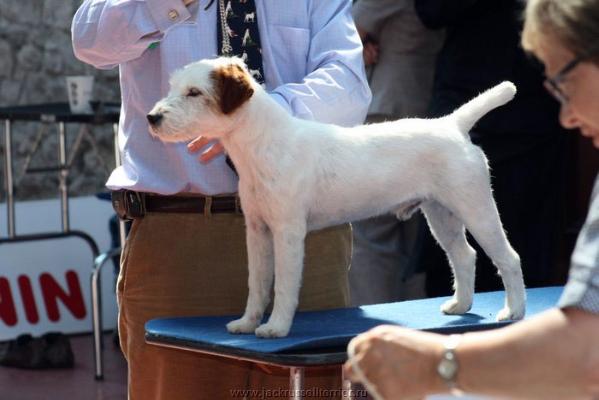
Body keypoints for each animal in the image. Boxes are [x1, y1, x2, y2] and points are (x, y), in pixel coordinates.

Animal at [148, 56, 528, 338]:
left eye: (194, 92)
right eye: (173, 87)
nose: (152, 117)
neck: (264, 145)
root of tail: (452, 125)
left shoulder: (288, 232)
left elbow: (283, 285)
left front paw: (276, 327)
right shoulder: (257, 231)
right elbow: (257, 283)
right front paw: (247, 323)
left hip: (476, 207)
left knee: (508, 258)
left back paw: (514, 310)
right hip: (441, 214)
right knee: (464, 256)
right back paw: (460, 305)